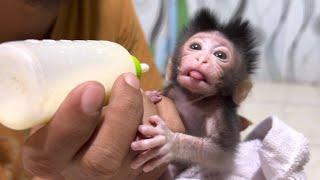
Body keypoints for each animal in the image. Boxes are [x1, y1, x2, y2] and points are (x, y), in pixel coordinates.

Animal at [130, 8, 258, 179]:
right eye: (195, 46)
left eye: (220, 55)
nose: (202, 59)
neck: (192, 97)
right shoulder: (172, 92)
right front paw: (150, 95)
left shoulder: (222, 112)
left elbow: (222, 156)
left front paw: (170, 141)